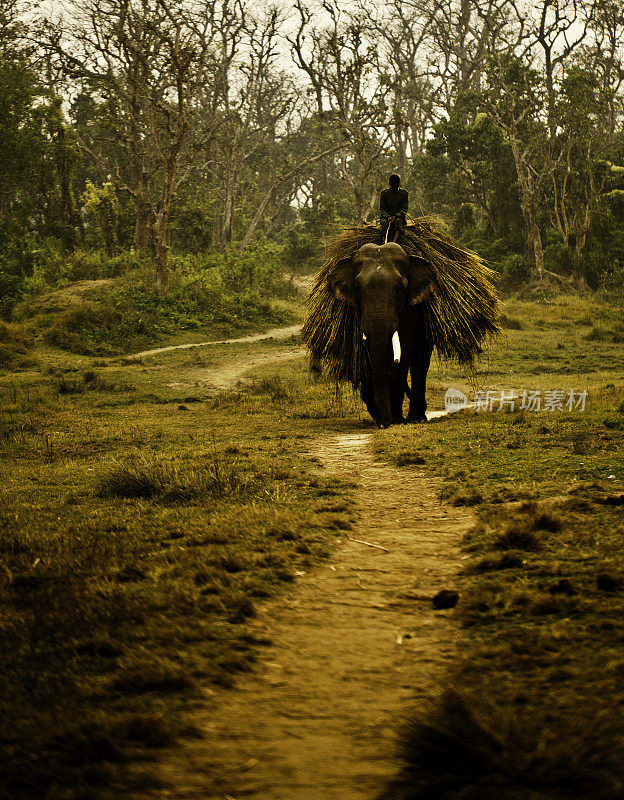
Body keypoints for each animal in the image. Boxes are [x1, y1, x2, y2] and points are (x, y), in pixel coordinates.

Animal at [330, 242, 436, 428]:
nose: (384, 423)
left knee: (420, 361)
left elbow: (404, 351)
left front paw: (397, 420)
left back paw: (416, 417)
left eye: (400, 288)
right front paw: (383, 418)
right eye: (358, 289)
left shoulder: (411, 310)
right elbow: (369, 357)